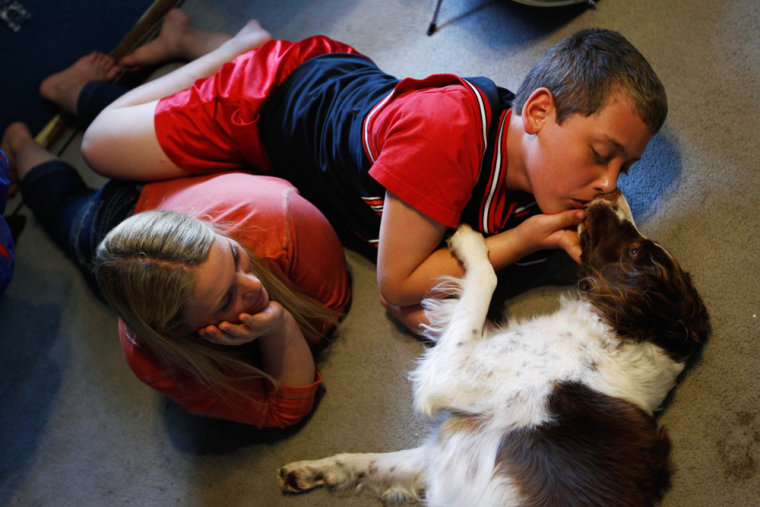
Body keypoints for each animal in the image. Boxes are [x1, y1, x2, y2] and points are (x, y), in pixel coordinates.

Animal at [280, 191, 712, 507]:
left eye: (637, 251)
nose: (613, 193)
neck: (618, 339)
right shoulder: (443, 451)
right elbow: (367, 463)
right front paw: (311, 470)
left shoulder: (453, 375)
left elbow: (482, 283)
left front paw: (470, 242)